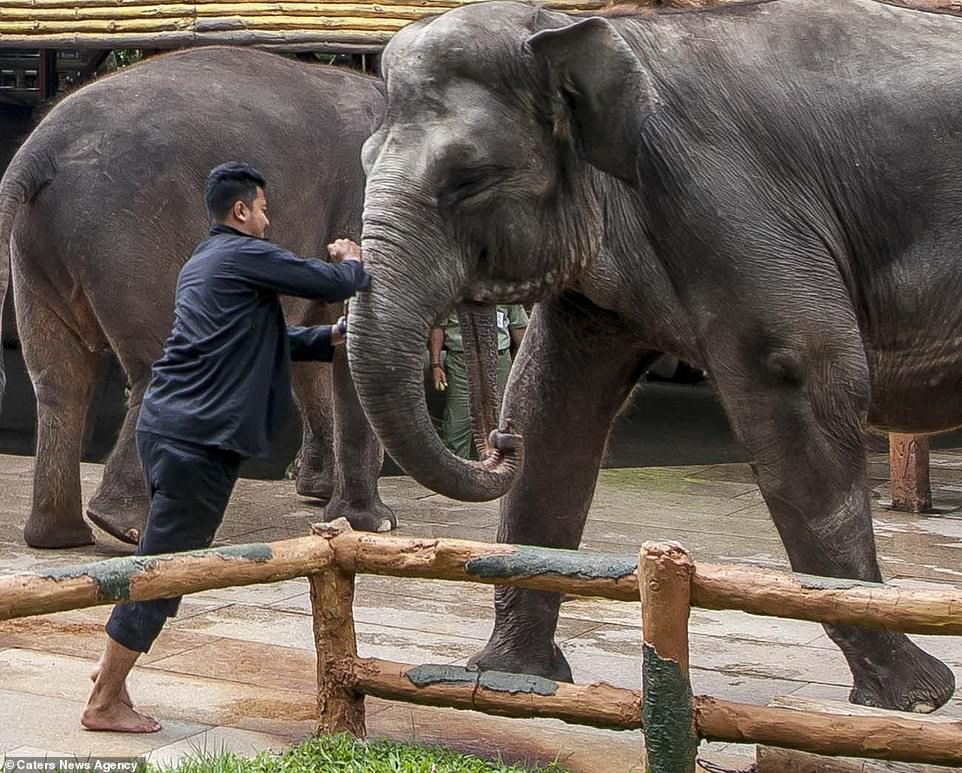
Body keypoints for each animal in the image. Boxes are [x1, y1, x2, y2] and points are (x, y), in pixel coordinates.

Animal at [0, 46, 394, 548]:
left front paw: (319, 495)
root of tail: (38, 150)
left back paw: (61, 537)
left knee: (58, 380)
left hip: (36, 251)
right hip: (130, 238)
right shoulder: (359, 198)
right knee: (155, 365)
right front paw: (374, 524)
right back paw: (135, 528)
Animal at [350, 0, 960, 712]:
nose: (498, 442)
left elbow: (800, 382)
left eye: (469, 179)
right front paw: (508, 679)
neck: (593, 31)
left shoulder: (732, 205)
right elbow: (553, 405)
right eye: (364, 161)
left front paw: (916, 699)